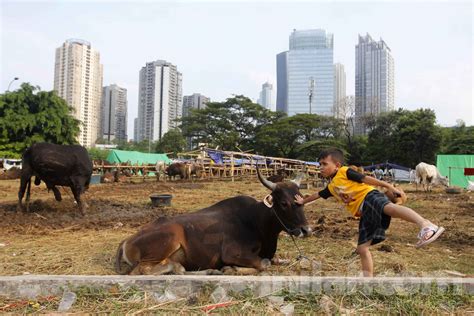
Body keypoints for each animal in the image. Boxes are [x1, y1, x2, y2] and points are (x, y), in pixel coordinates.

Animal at [115, 167, 312, 276]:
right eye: (284, 203)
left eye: (302, 199)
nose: (306, 230)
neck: (257, 222)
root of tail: (126, 240)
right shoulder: (231, 254)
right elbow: (263, 264)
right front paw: (231, 269)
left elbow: (275, 260)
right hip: (168, 240)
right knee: (143, 270)